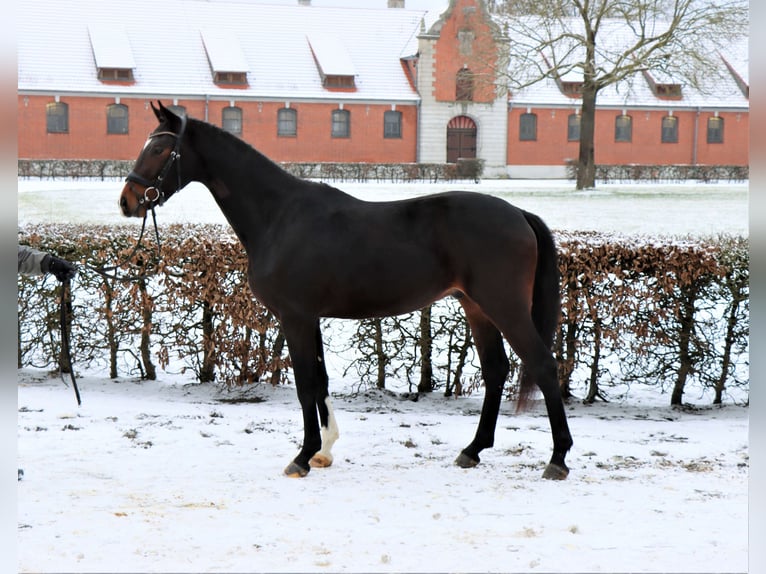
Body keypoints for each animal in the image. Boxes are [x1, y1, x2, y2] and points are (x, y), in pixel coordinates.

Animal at [120, 101, 572, 480]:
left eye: (159, 149)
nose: (128, 200)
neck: (279, 216)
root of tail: (519, 213)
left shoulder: (296, 317)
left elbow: (306, 384)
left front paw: (303, 457)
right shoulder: (310, 318)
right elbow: (319, 381)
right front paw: (323, 450)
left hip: (505, 306)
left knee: (543, 365)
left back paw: (558, 459)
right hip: (476, 307)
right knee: (496, 370)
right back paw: (473, 450)